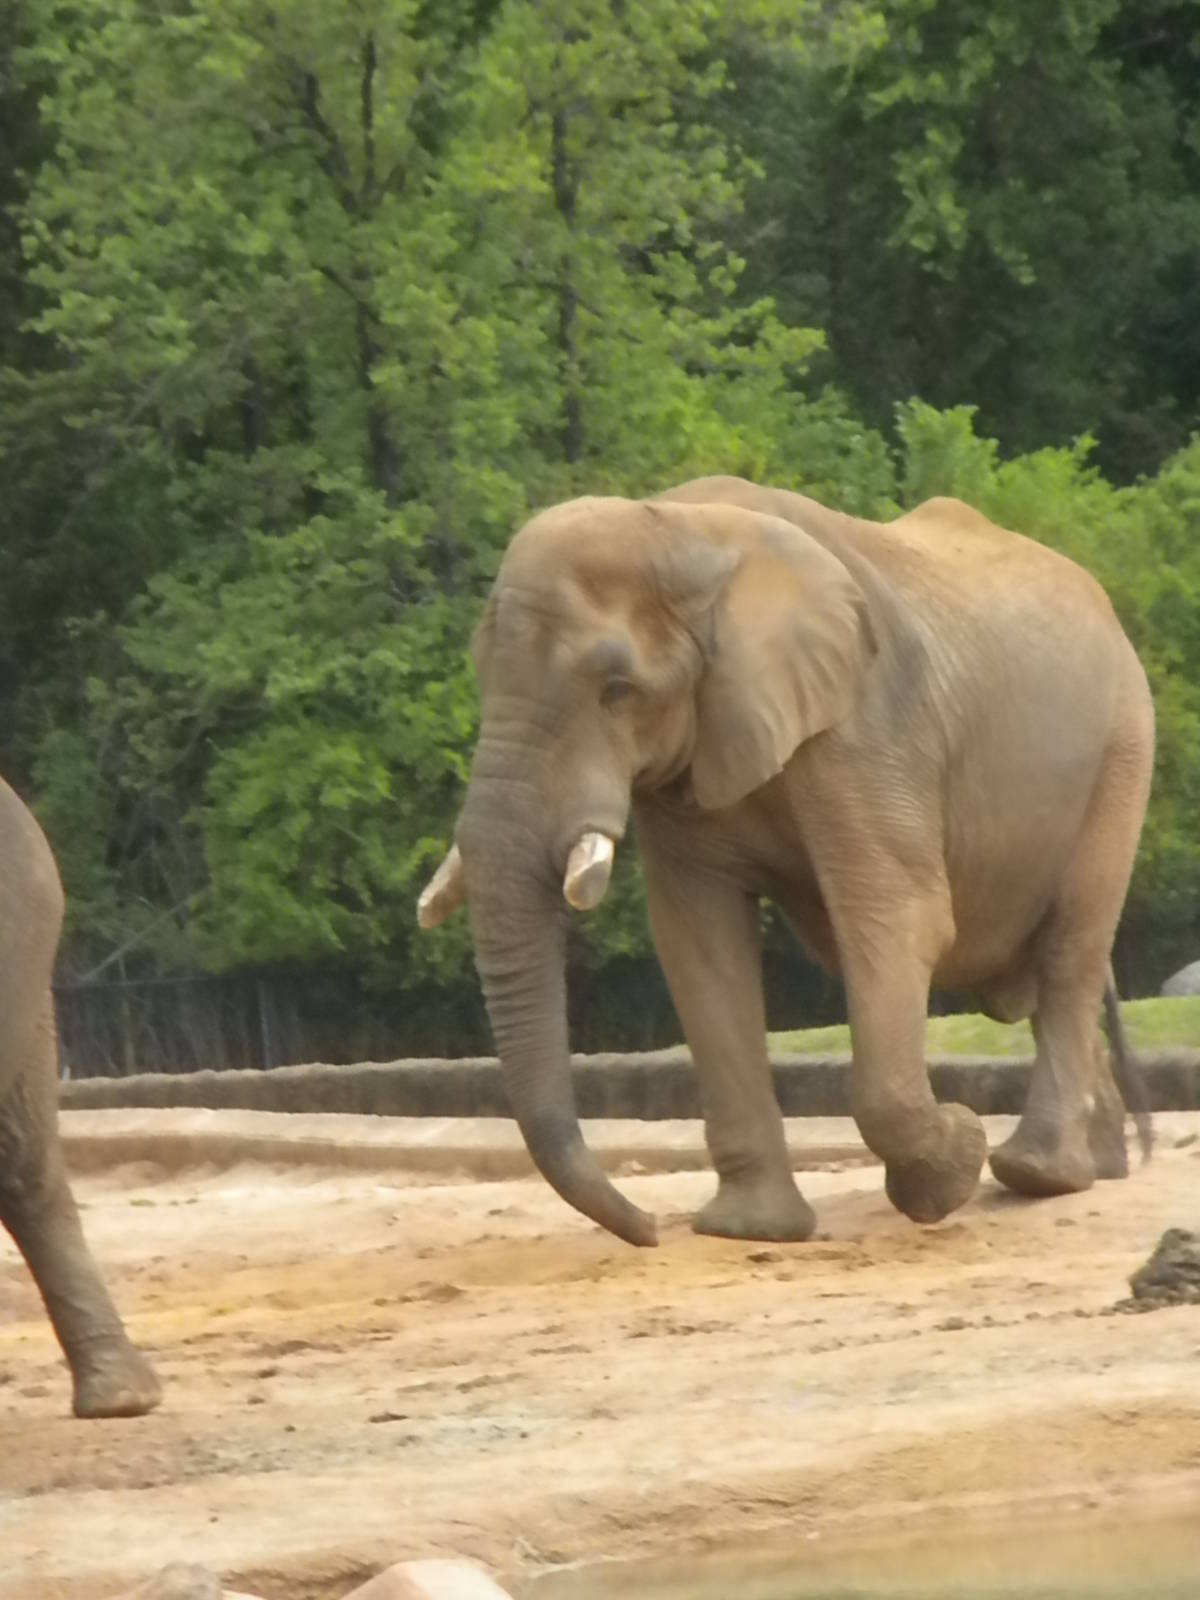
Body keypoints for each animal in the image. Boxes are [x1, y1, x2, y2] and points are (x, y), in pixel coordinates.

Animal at [417, 476, 1155, 1247]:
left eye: (615, 689)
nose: (649, 1228)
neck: (681, 527)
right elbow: (700, 946)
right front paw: (750, 1231)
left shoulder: (866, 725)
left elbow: (899, 919)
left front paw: (954, 1162)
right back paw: (1095, 1168)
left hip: (1122, 747)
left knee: (1069, 950)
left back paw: (1036, 1174)